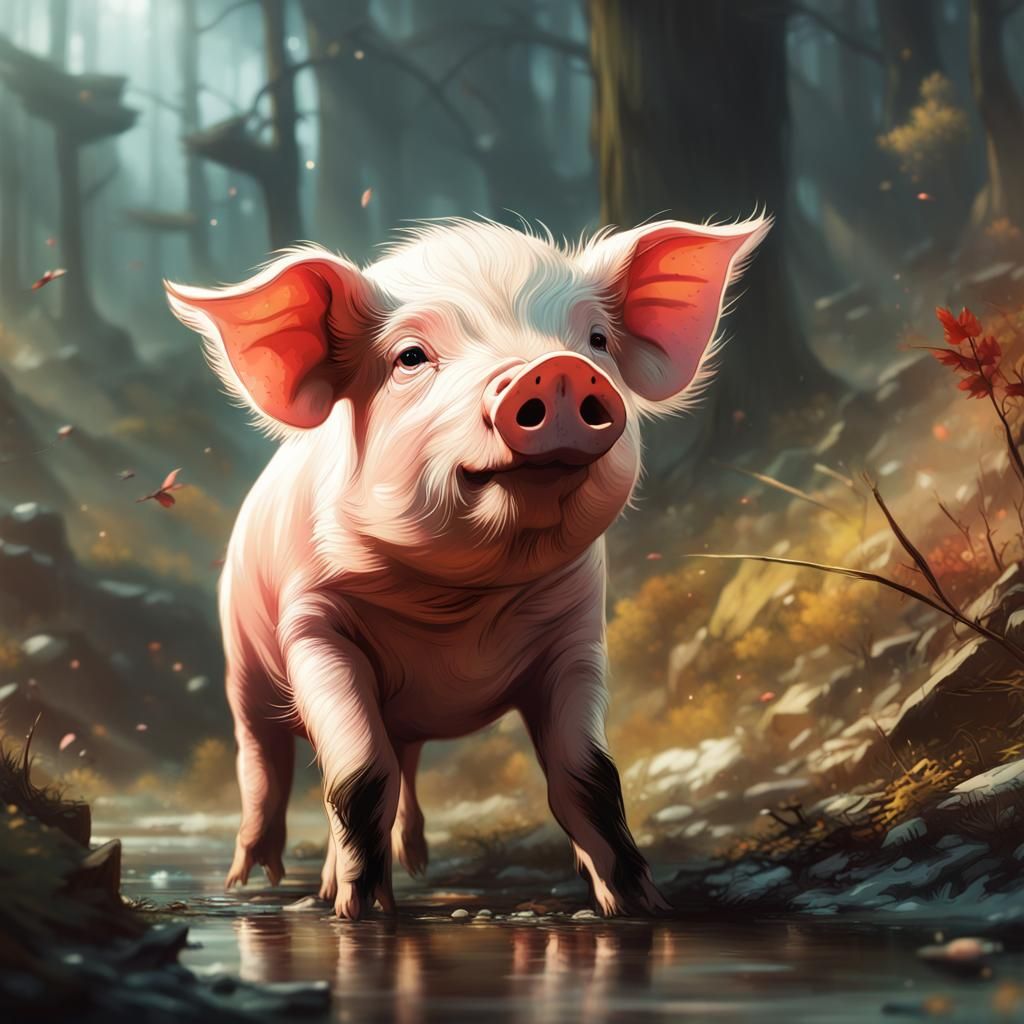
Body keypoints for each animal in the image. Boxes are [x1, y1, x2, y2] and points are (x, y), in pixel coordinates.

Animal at [164, 214, 769, 919]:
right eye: (409, 357)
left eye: (595, 340)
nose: (556, 370)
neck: (459, 604)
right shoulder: (312, 624)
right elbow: (360, 773)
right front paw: (360, 913)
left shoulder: (576, 635)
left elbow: (588, 775)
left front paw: (642, 906)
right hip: (243, 660)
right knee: (265, 758)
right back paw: (253, 880)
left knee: (404, 761)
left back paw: (411, 866)